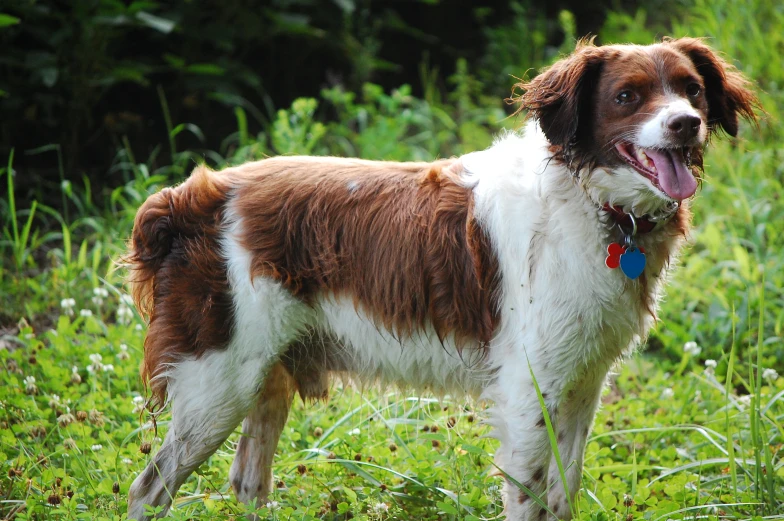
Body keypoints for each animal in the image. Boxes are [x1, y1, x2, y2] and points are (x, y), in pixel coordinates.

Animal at [125, 37, 756, 520]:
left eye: (692, 90)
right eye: (627, 96)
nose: (687, 124)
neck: (593, 205)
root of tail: (187, 198)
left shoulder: (582, 384)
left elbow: (563, 494)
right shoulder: (532, 389)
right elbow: (530, 498)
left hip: (265, 379)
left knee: (247, 482)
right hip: (217, 385)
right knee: (148, 489)